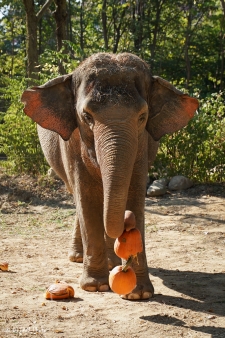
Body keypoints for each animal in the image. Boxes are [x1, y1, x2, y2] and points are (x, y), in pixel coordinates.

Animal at [20, 53, 198, 302]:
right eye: (86, 116)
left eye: (142, 117)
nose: (126, 221)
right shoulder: (73, 143)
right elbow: (86, 198)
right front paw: (96, 286)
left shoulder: (142, 145)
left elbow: (134, 193)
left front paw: (139, 293)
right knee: (77, 197)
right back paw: (79, 257)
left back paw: (111, 261)